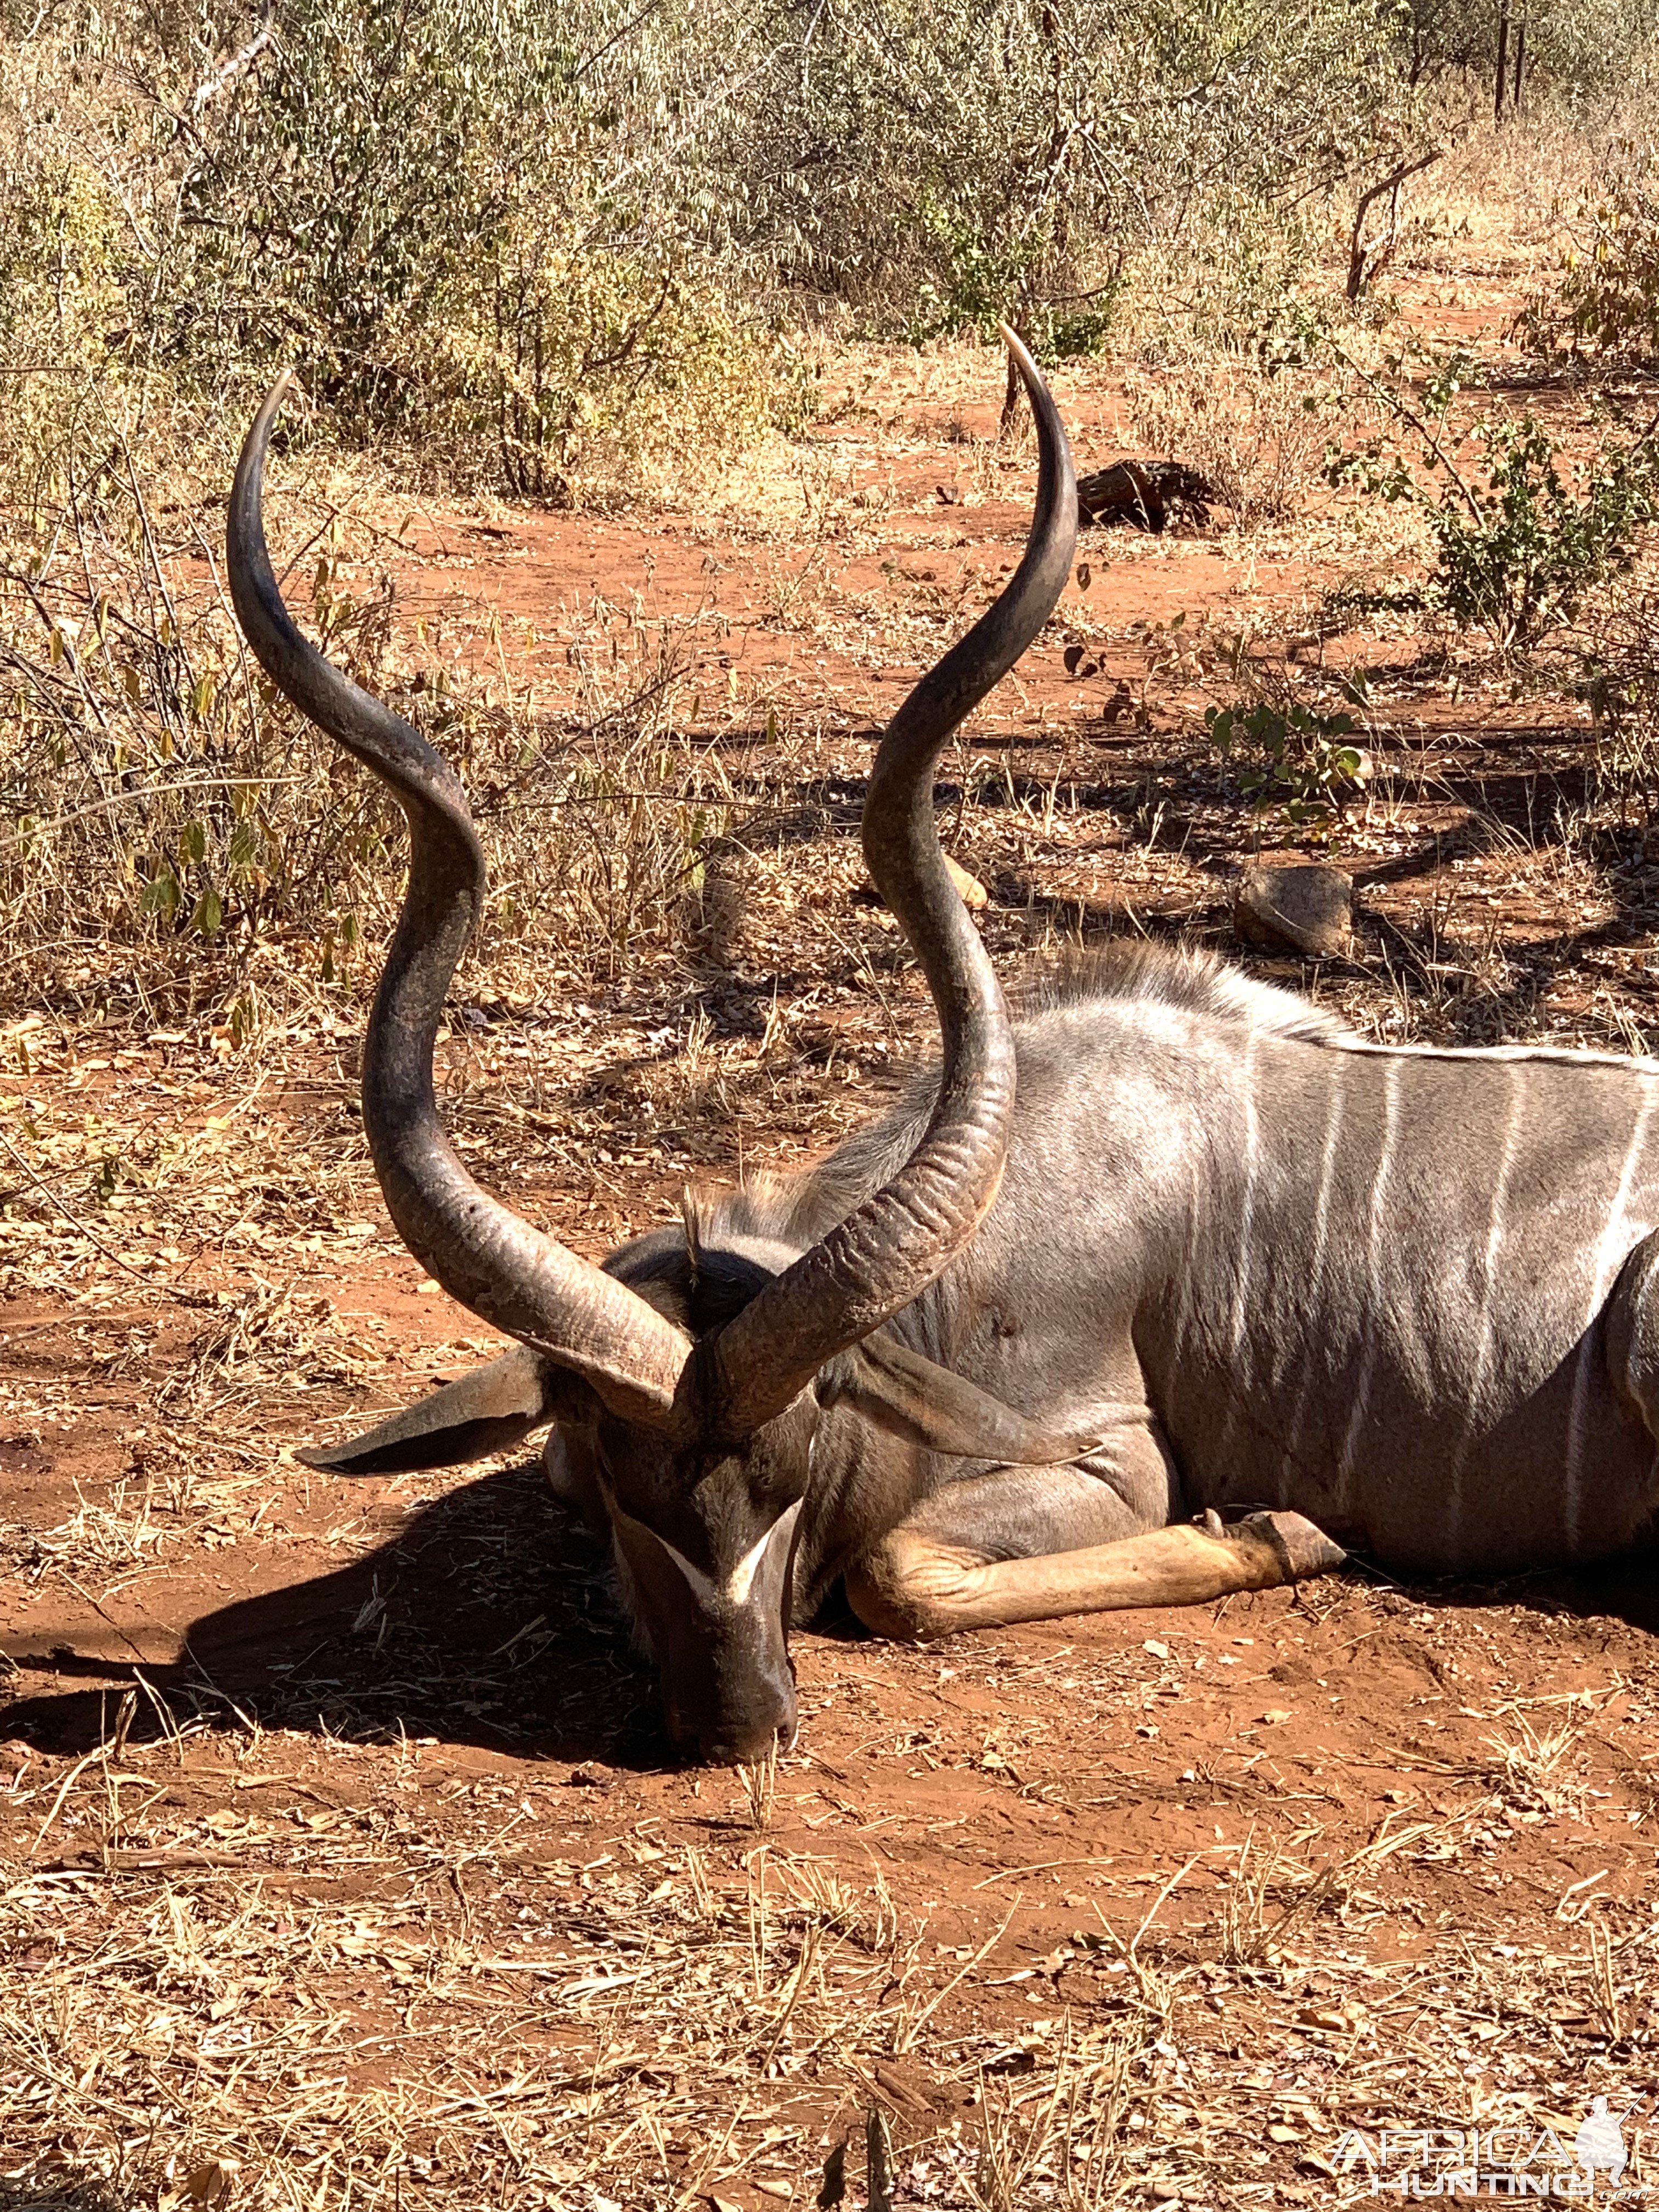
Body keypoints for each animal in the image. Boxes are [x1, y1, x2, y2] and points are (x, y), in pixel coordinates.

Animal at [231, 340, 1659, 1760]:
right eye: (616, 1487)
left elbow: (899, 1574)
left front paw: (1282, 1529)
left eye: (797, 1464)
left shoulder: (1110, 1457)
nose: (737, 1723)